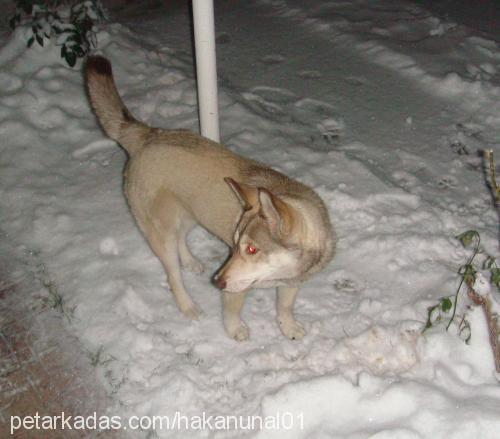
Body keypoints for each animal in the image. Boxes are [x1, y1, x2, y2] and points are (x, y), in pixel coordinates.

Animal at [85, 55, 336, 342]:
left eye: (252, 249)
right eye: (236, 245)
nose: (217, 282)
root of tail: (148, 135)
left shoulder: (292, 282)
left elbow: (285, 306)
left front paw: (288, 326)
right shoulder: (235, 288)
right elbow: (232, 312)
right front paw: (235, 330)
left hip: (192, 212)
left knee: (181, 239)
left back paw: (190, 262)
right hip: (161, 232)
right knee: (173, 274)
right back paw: (188, 306)